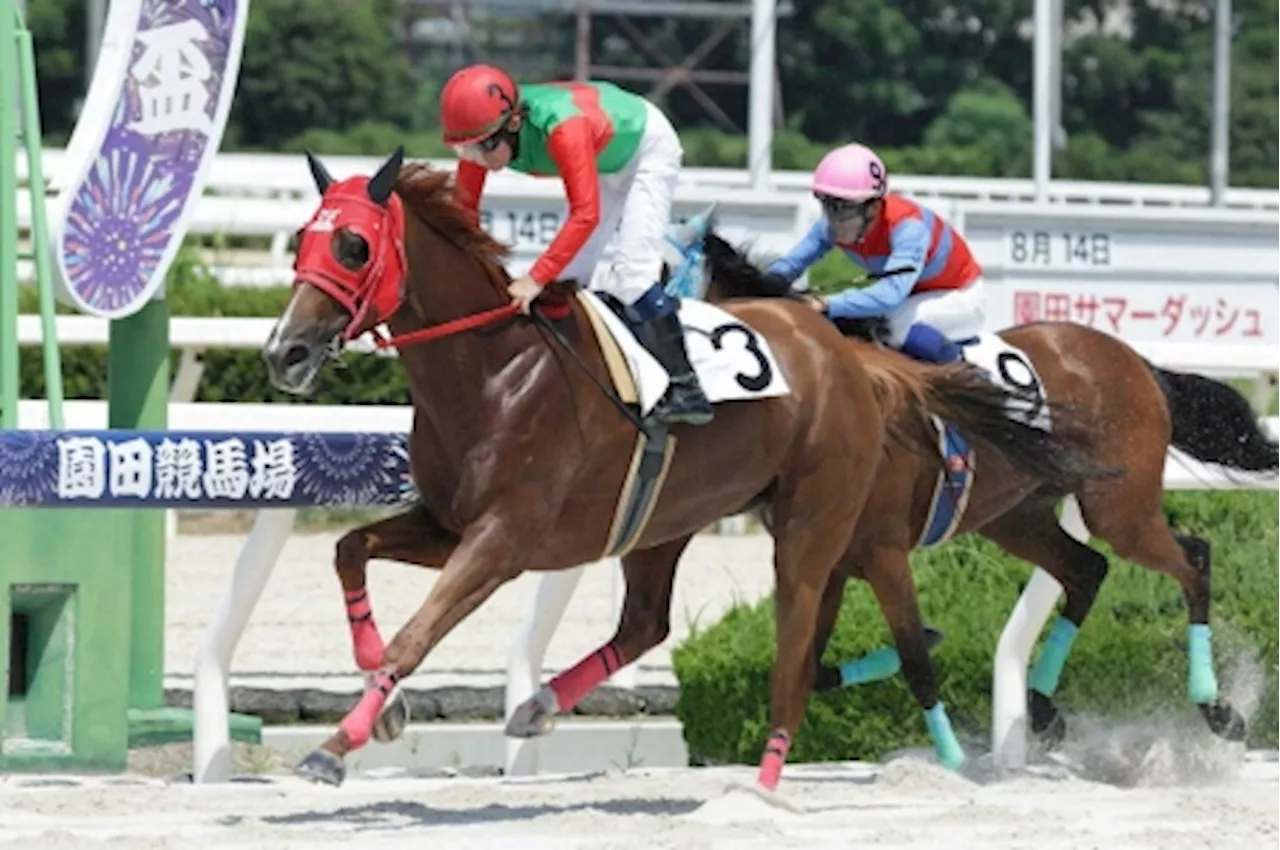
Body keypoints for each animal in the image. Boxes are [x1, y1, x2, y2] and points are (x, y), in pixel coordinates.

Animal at [257, 145, 1100, 788]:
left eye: (355, 246)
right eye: (300, 238)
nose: (284, 352)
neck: (497, 371)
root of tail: (844, 351)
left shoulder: (501, 541)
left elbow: (417, 634)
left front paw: (335, 747)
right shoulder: (449, 522)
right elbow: (349, 549)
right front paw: (385, 703)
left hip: (810, 521)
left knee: (794, 642)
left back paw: (765, 780)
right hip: (664, 521)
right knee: (647, 622)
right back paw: (540, 705)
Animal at [706, 229, 1274, 768]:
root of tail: (1137, 362)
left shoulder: (883, 552)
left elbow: (914, 658)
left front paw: (951, 754)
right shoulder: (828, 560)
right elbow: (813, 666)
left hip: (1117, 508)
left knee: (1192, 560)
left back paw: (1218, 710)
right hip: (1017, 517)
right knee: (1088, 569)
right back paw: (1043, 710)